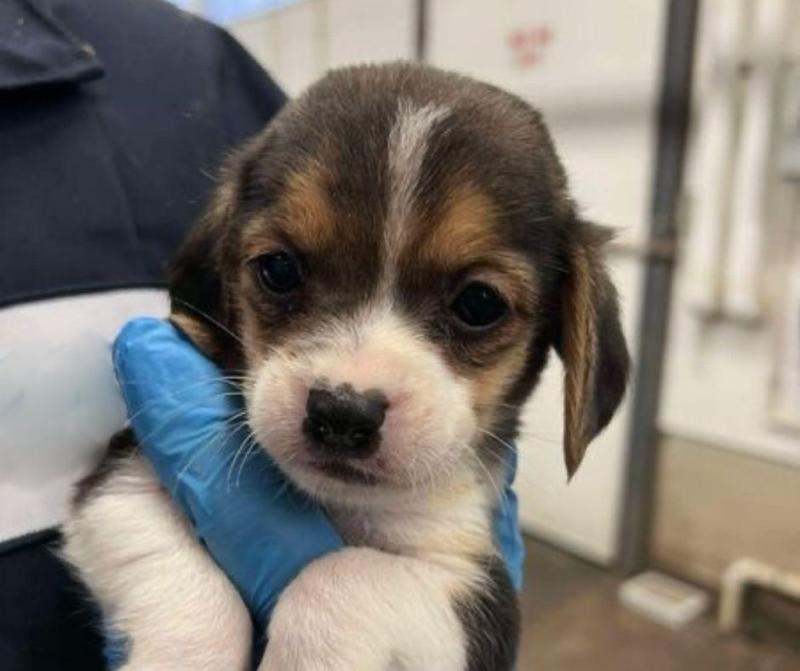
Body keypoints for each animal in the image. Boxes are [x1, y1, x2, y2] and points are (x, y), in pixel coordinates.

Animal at [63, 62, 629, 670]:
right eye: (279, 269)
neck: (339, 506)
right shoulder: (125, 480)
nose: (342, 414)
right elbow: (189, 590)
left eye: (480, 303)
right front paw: (187, 654)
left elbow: (340, 577)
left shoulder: (478, 590)